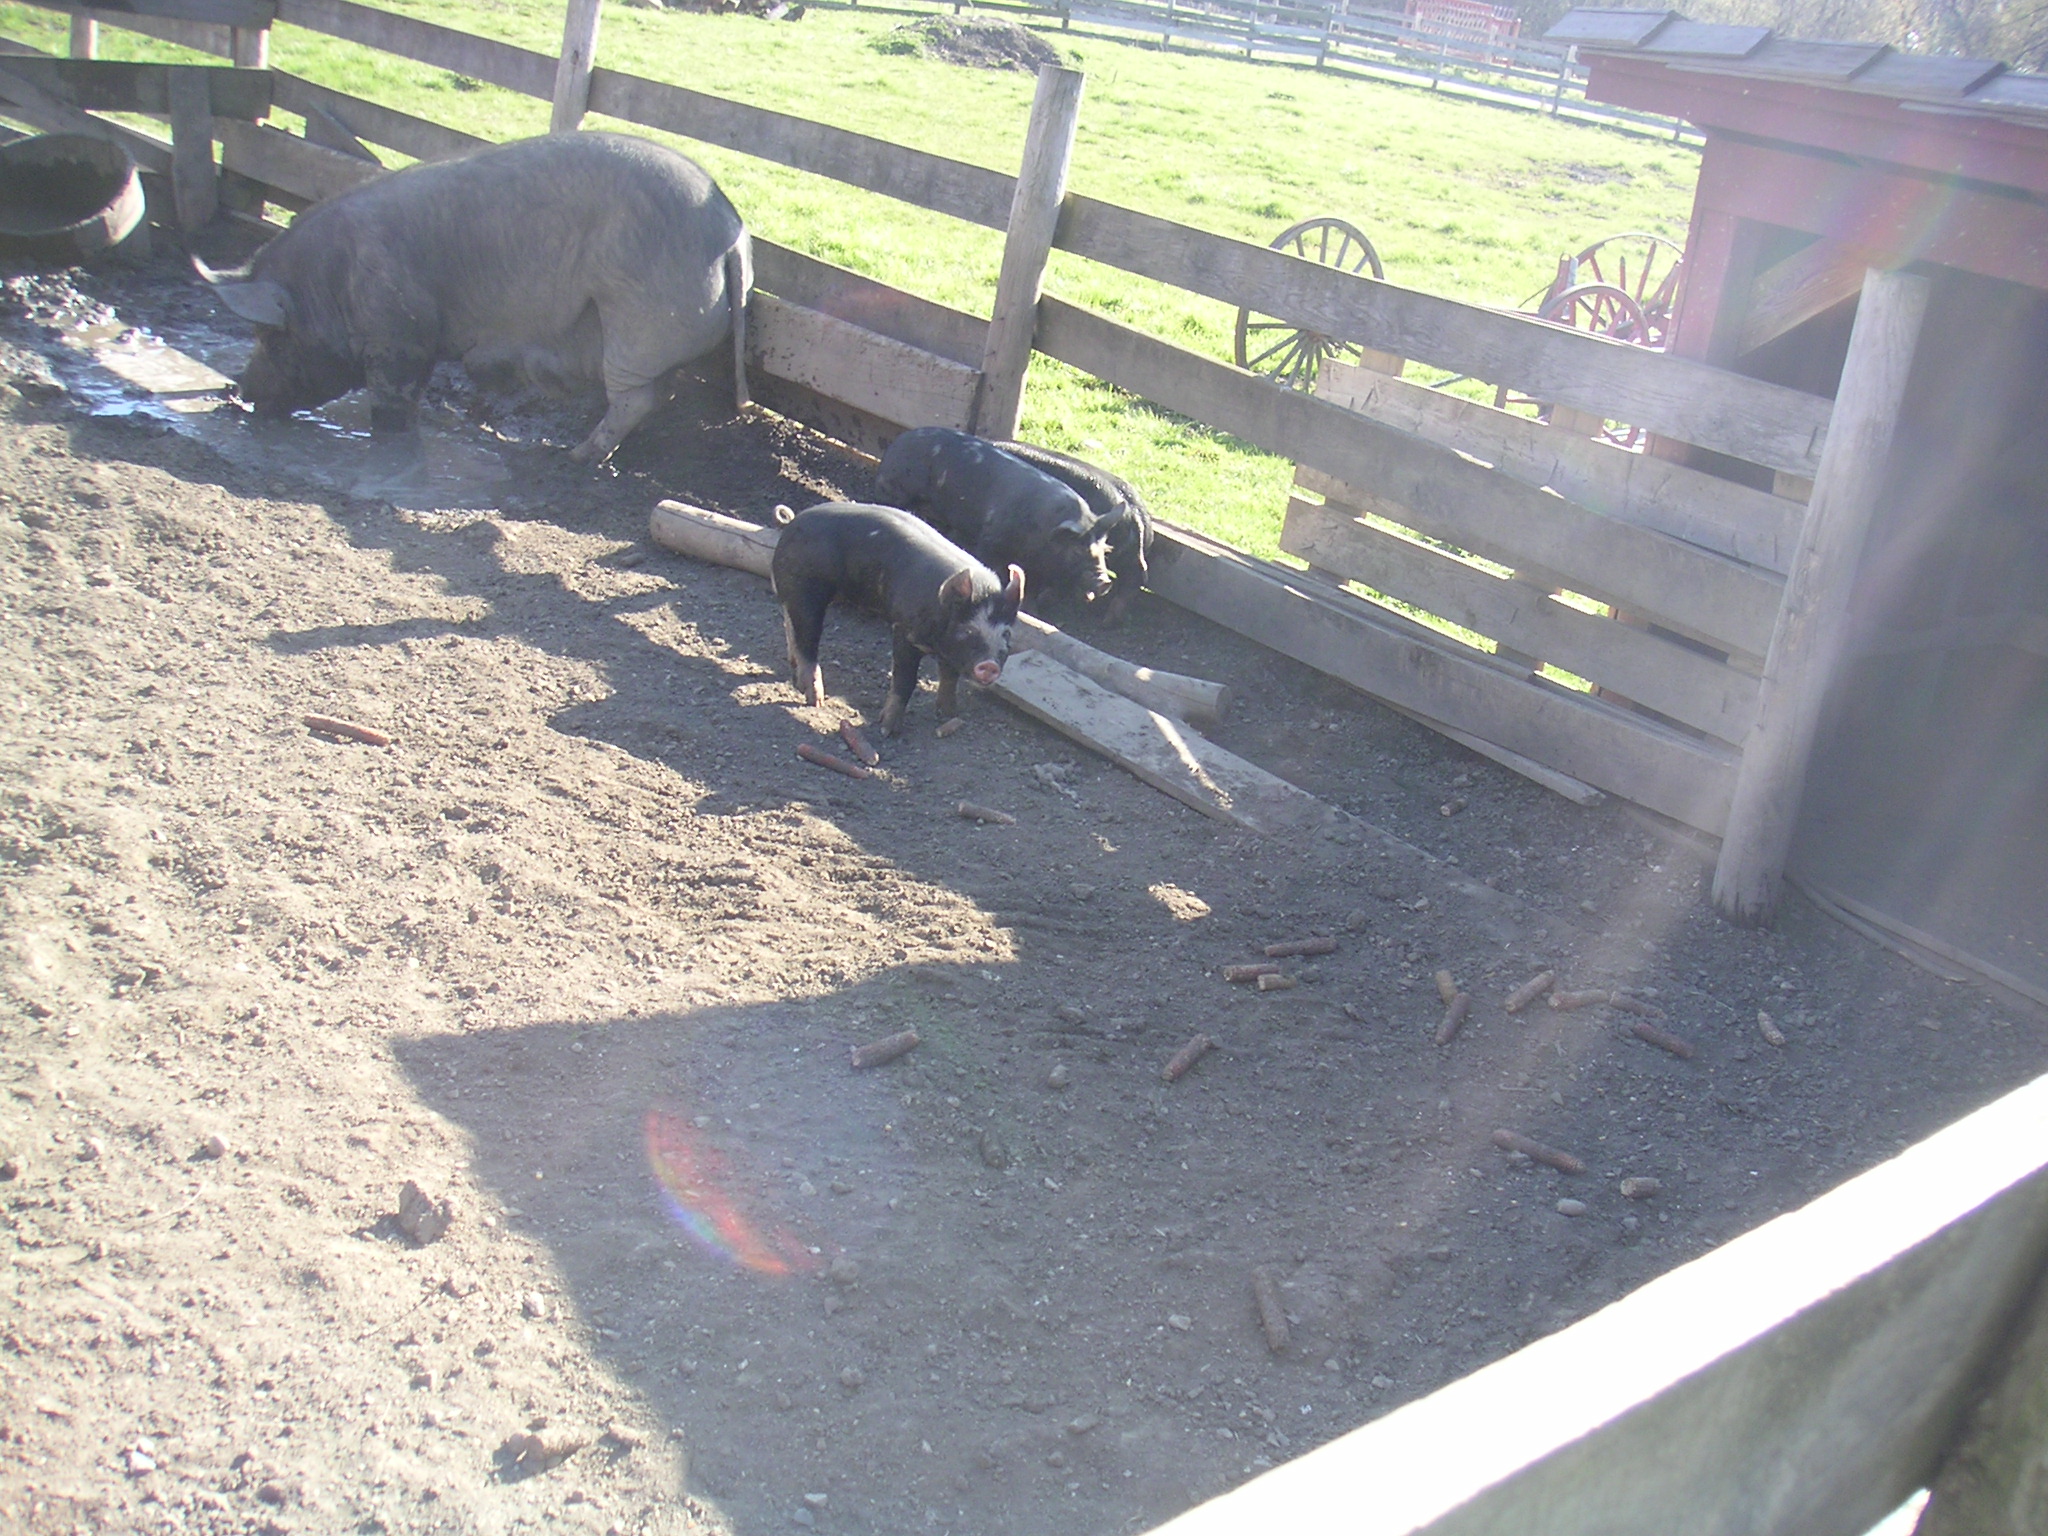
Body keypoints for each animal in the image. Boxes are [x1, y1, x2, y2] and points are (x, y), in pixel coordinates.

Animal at [194, 132, 752, 464]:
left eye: (271, 336)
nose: (238, 388)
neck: (329, 284)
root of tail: (730, 229)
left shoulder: (399, 335)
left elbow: (394, 397)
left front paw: (391, 441)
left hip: (636, 323)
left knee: (636, 399)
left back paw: (577, 456)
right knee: (660, 396)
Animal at [770, 502, 1025, 736]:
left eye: (1006, 634)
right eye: (968, 631)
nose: (989, 664)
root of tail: (791, 524)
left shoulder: (949, 652)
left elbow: (949, 677)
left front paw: (949, 715)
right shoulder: (905, 631)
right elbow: (905, 679)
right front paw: (886, 730)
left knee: (789, 624)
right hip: (805, 587)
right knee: (807, 640)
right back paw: (816, 700)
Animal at [873, 427, 1112, 609]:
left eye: (1103, 550)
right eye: (1077, 549)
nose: (1105, 582)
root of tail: (894, 445)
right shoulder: (991, 538)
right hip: (897, 489)